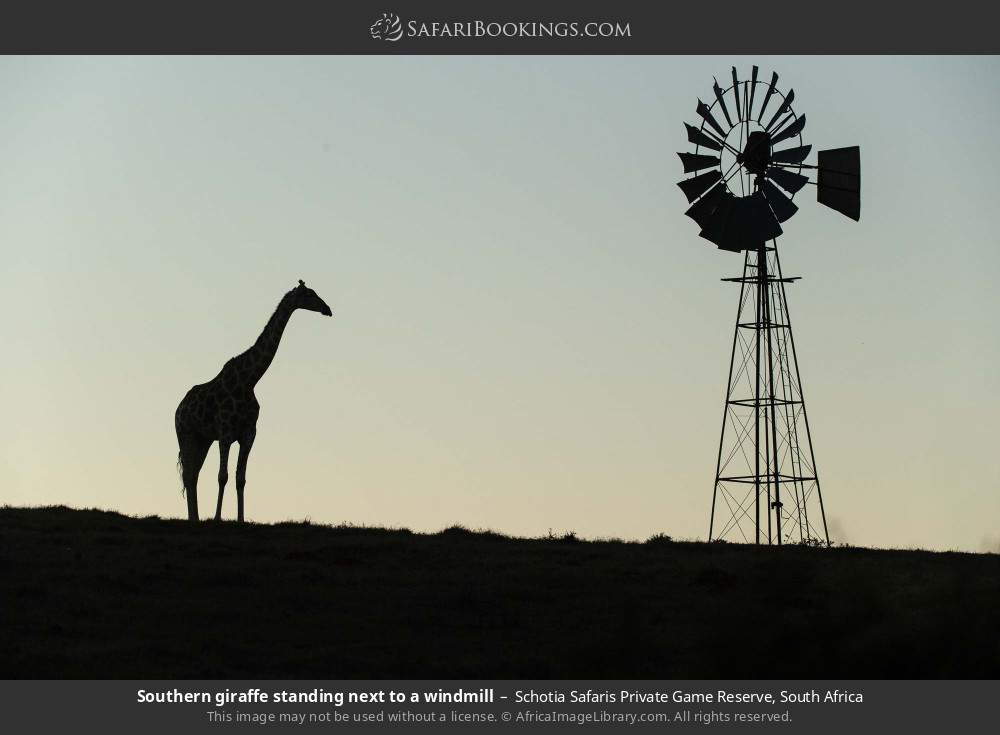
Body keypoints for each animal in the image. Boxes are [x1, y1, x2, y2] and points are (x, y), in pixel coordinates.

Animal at [174, 280, 332, 522]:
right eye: (309, 294)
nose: (328, 309)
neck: (249, 380)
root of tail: (179, 408)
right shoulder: (226, 433)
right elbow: (222, 476)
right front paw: (218, 518)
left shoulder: (249, 434)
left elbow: (241, 478)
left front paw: (240, 519)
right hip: (186, 434)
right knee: (190, 475)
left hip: (203, 439)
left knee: (193, 476)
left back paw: (196, 518)